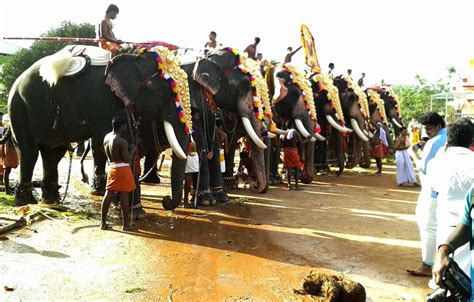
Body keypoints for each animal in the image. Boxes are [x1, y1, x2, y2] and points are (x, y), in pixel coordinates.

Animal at [8, 44, 190, 206]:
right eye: (169, 91)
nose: (166, 200)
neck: (134, 56)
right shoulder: (104, 101)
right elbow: (125, 144)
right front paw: (135, 212)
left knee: (53, 153)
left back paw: (51, 201)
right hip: (18, 109)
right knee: (29, 152)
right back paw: (25, 202)